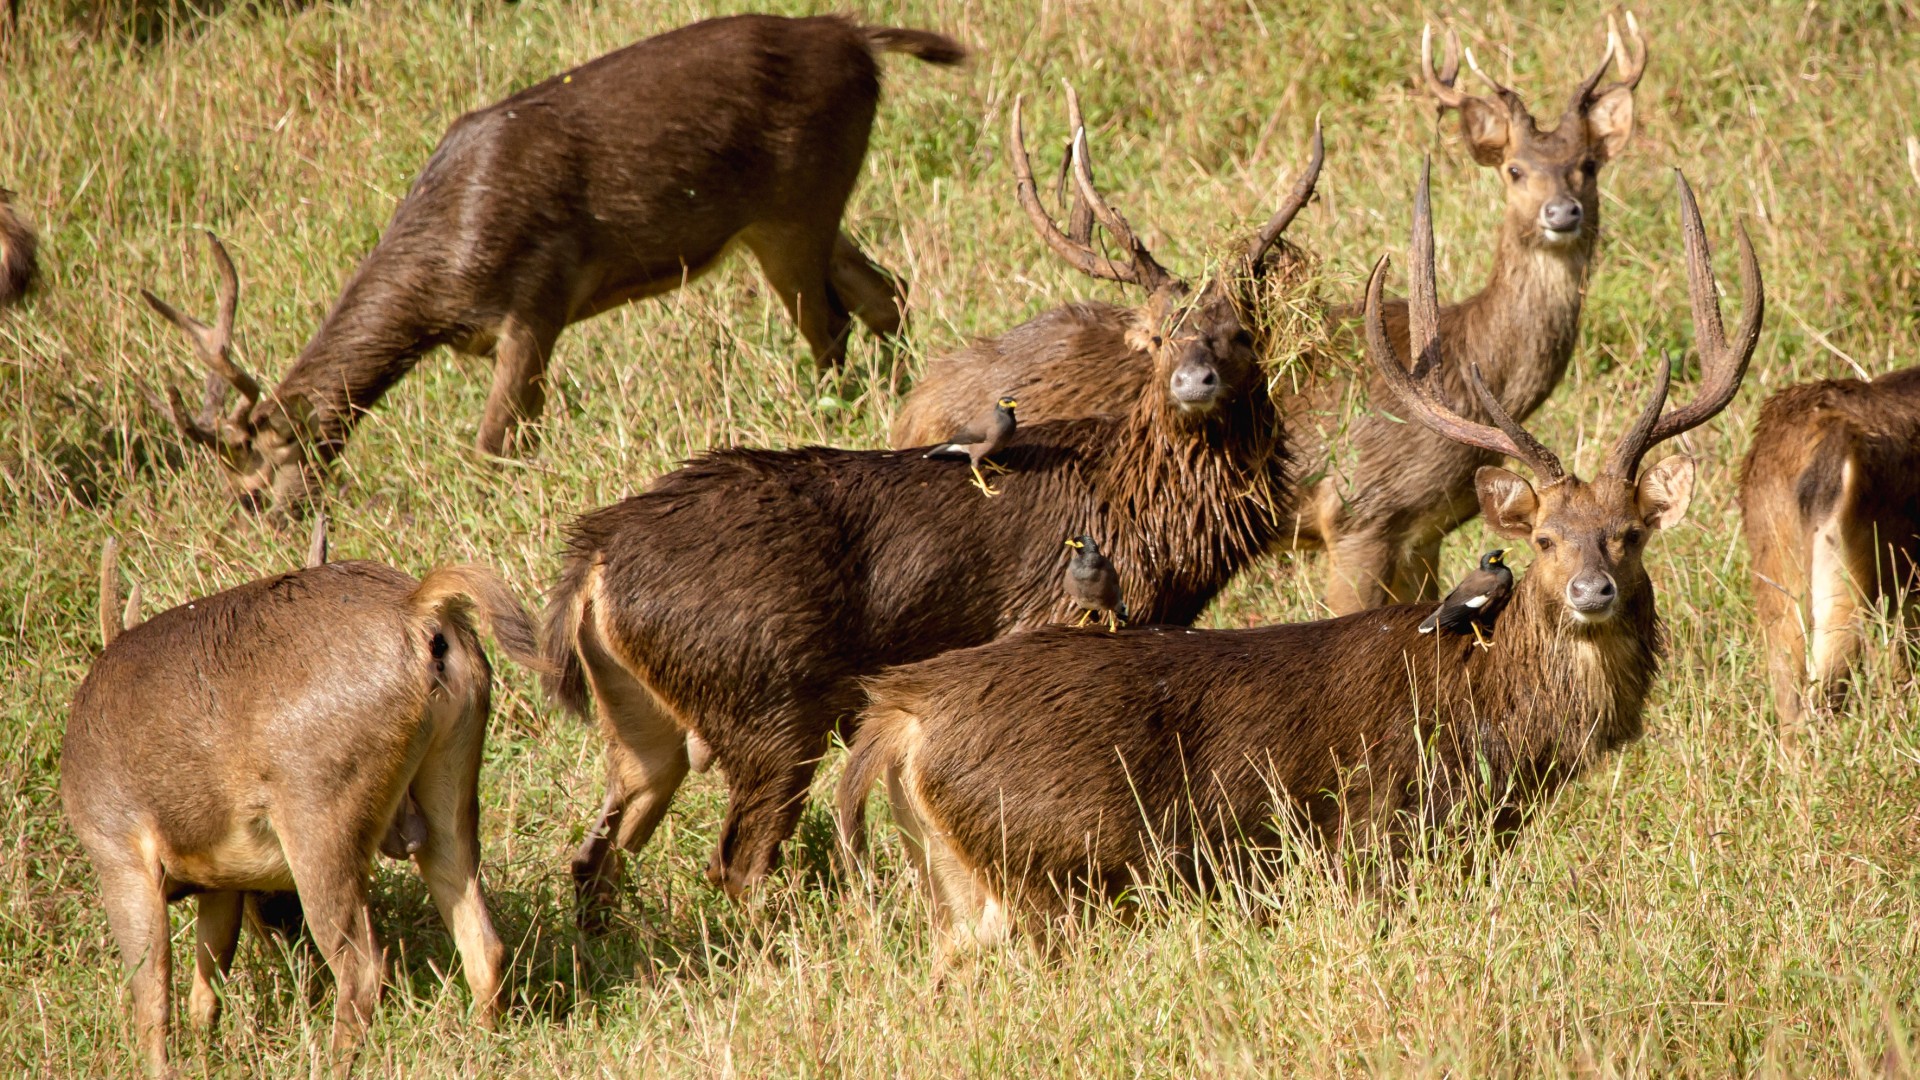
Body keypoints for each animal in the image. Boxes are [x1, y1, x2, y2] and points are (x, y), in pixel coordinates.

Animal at [65, 530, 549, 1068]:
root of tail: (420, 608)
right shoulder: (221, 881)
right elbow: (207, 982)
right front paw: (208, 1053)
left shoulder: (116, 849)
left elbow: (151, 994)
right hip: (450, 788)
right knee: (483, 942)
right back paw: (485, 1043)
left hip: (319, 817)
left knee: (363, 967)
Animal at [142, 12, 967, 507]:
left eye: (250, 487)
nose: (263, 525)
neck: (442, 272)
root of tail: (859, 38)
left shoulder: (538, 296)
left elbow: (495, 445)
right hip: (790, 217)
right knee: (886, 292)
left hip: (798, 204)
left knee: (833, 325)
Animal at [545, 94, 1320, 914]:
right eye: (1162, 333)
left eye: (1243, 333)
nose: (1194, 381)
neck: (1146, 513)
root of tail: (590, 563)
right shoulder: (1053, 617)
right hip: (767, 701)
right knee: (739, 862)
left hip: (644, 720)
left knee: (598, 851)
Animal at [833, 161, 1758, 957]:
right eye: (1545, 538)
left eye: (1630, 531)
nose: (1591, 591)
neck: (1495, 714)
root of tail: (901, 717)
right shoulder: (1384, 839)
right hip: (1047, 874)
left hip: (960, 886)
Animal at [890, 16, 1643, 618]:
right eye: (1514, 169)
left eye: (1587, 166)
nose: (1562, 214)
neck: (1460, 368)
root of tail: (917, 402)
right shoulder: (1359, 513)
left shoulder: (1423, 533)